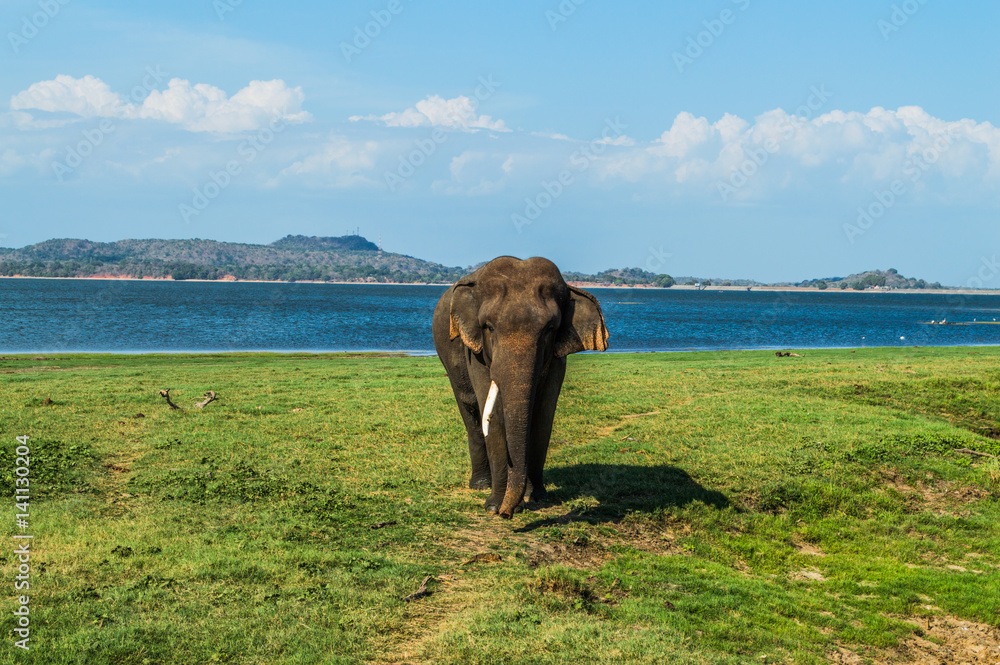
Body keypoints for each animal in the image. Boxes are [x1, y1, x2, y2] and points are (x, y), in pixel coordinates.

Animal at [432, 256, 609, 518]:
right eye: (489, 327)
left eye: (549, 329)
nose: (507, 514)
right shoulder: (475, 351)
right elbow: (494, 418)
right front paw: (494, 505)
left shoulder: (556, 356)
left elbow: (543, 413)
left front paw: (536, 498)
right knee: (470, 410)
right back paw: (480, 485)